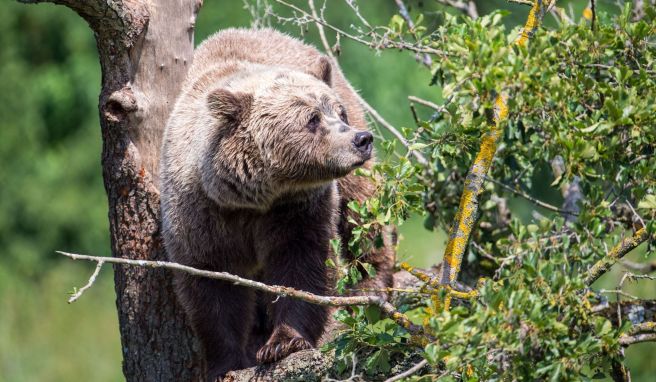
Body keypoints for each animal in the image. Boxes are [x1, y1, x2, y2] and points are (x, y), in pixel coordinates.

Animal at [160, 27, 394, 382]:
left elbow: (302, 265)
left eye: (337, 112)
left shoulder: (296, 210)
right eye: (312, 119)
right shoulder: (200, 215)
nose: (361, 139)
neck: (253, 196)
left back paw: (372, 285)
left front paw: (283, 342)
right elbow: (211, 285)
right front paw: (227, 362)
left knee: (361, 212)